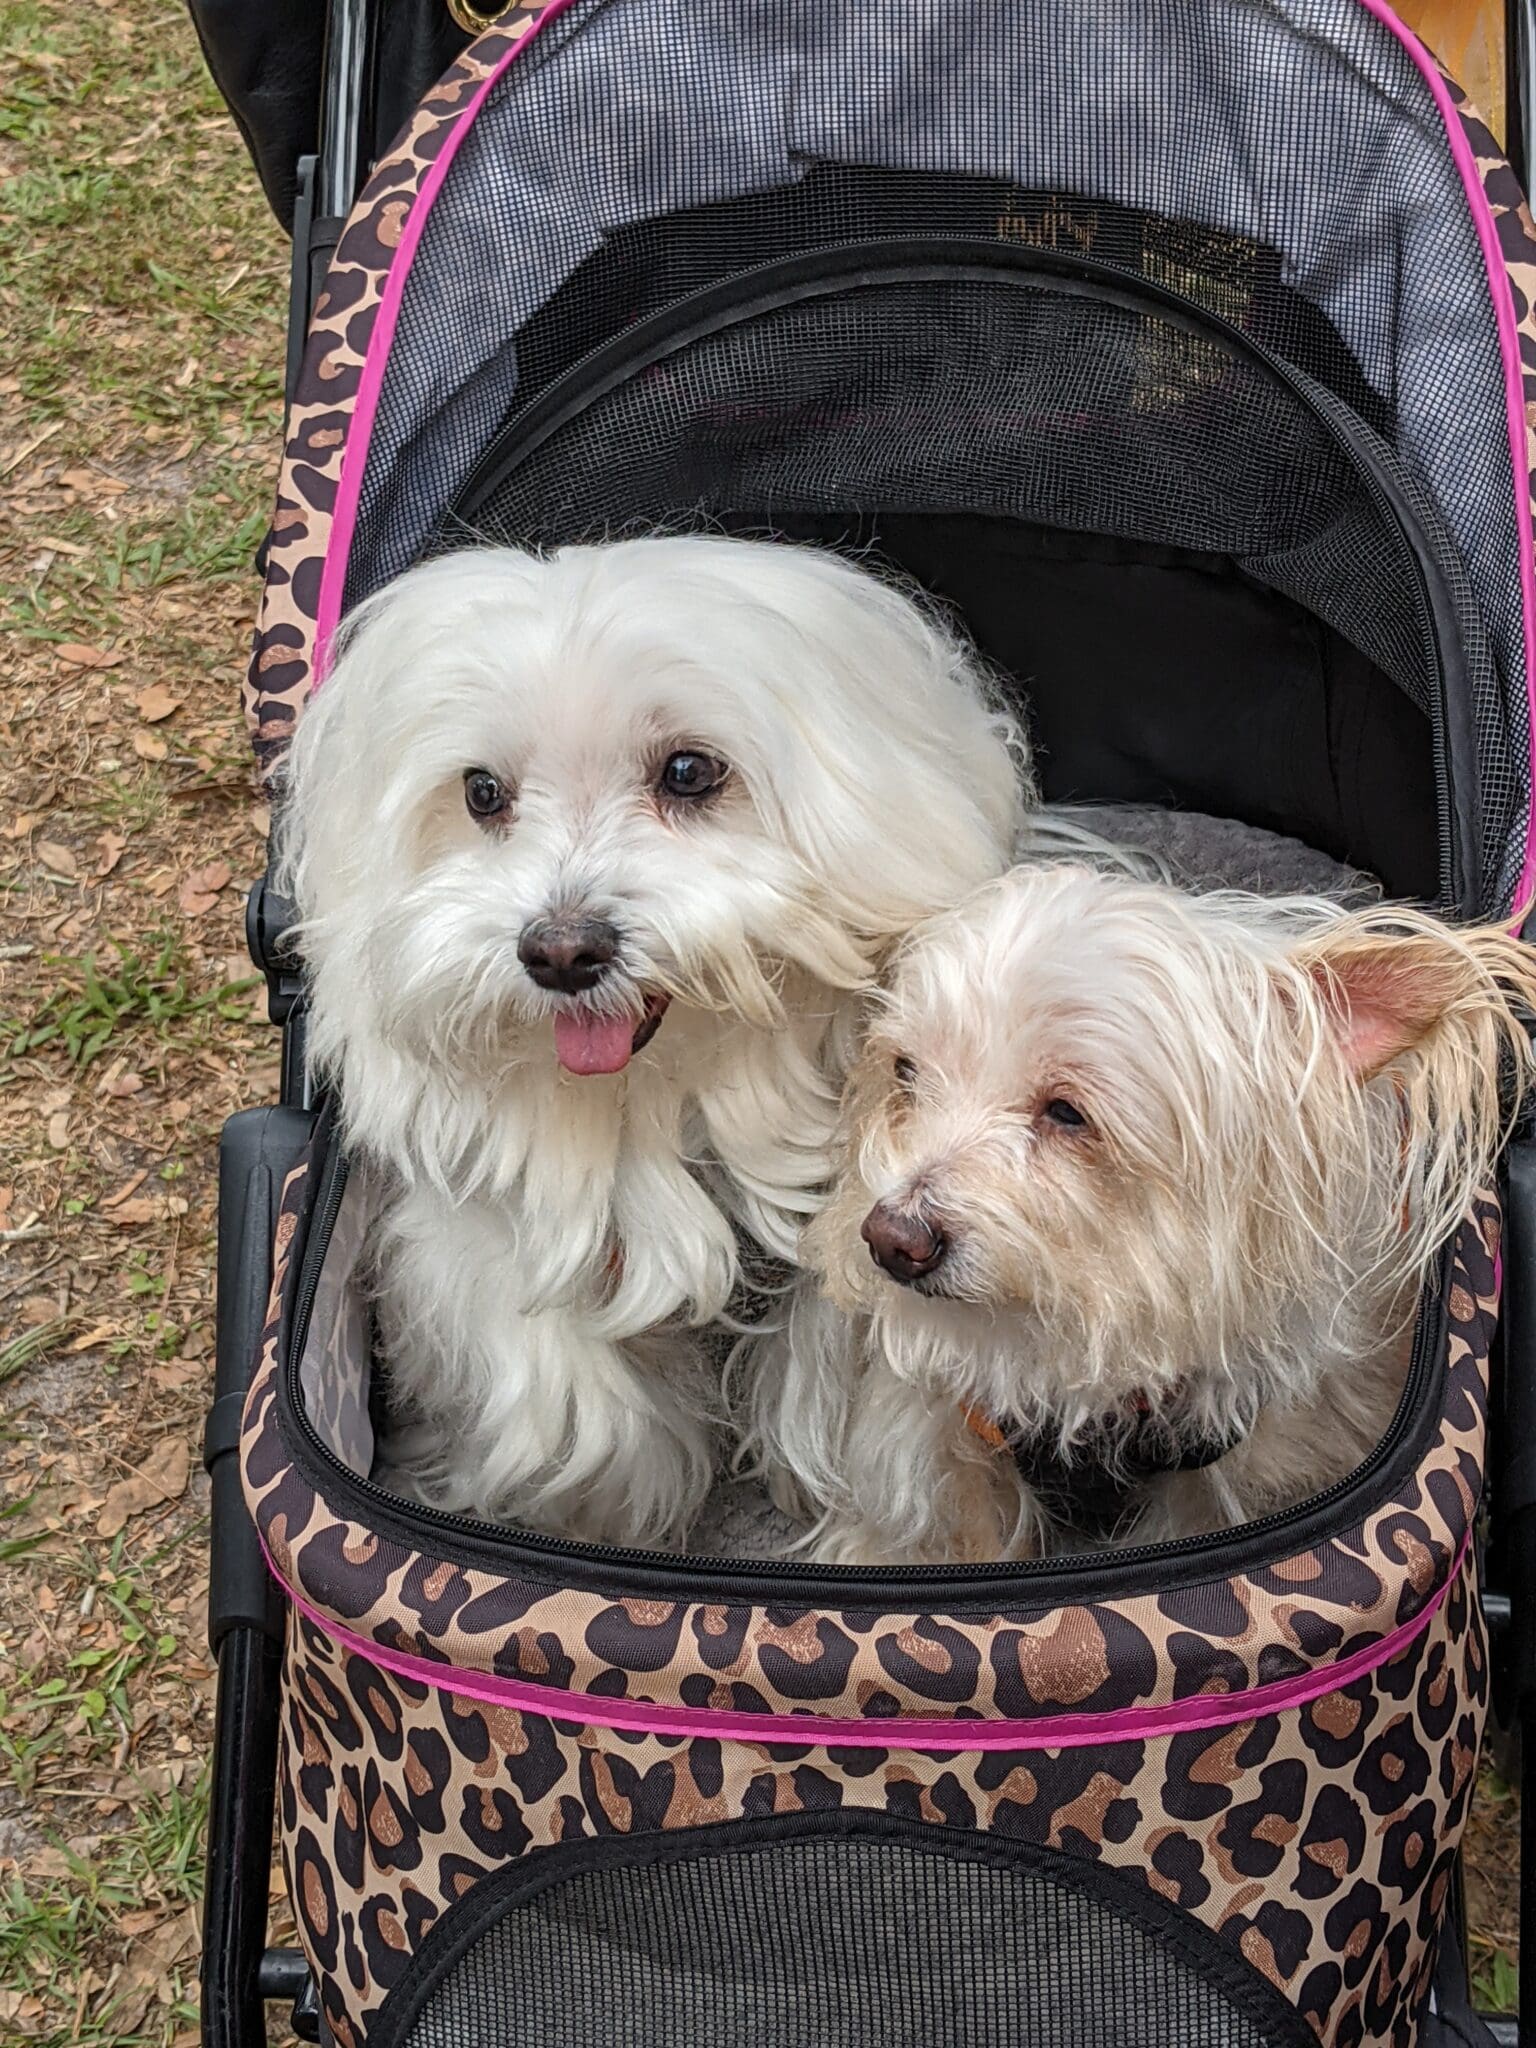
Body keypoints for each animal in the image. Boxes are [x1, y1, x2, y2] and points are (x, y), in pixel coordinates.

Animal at [282, 536, 1028, 1540]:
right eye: (482, 793)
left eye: (688, 772)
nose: (561, 951)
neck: (657, 1101)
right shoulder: (491, 1248)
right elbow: (574, 1409)